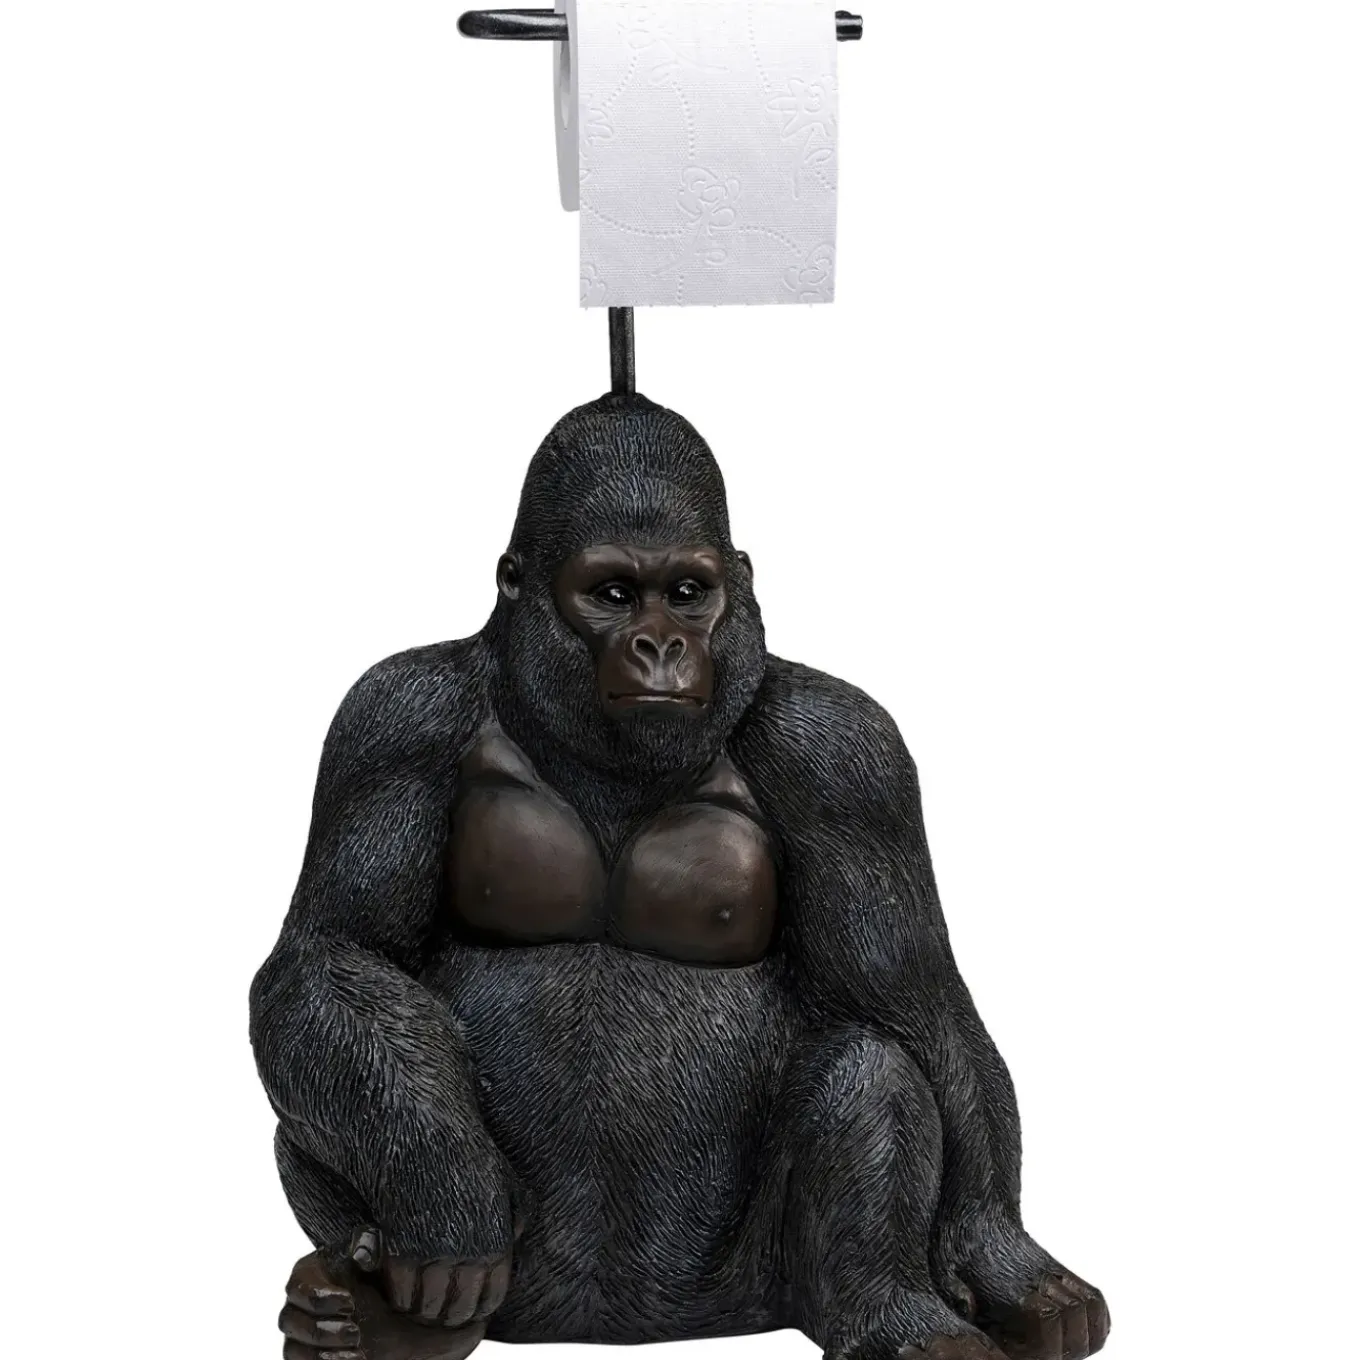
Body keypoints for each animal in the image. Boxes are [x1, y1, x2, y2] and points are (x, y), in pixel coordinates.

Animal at [250, 393, 1109, 1360]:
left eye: (690, 595)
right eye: (613, 594)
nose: (660, 644)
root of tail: (613, 1331)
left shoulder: (849, 755)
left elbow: (914, 1003)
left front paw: (1008, 1261)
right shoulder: (390, 719)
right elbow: (333, 953)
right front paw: (448, 1202)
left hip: (744, 1294)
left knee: (871, 1068)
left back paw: (898, 1321)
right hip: (534, 1294)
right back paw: (375, 1312)